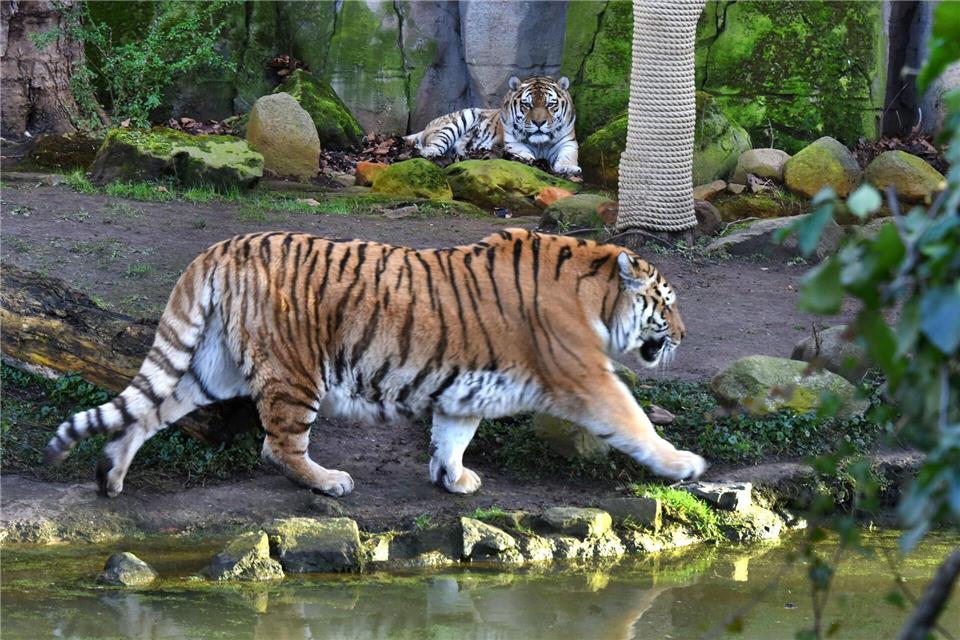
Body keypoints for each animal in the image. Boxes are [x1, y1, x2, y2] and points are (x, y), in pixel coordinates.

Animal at [45, 229, 706, 498]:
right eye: (668, 304)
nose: (683, 335)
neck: (597, 296)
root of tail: (222, 248)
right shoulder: (588, 377)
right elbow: (633, 420)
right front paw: (683, 464)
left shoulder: (467, 387)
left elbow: (452, 436)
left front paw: (453, 479)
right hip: (296, 371)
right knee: (276, 447)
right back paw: (328, 482)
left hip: (212, 368)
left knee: (148, 413)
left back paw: (111, 475)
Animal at [404, 76, 581, 176]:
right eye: (527, 105)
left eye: (550, 105)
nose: (539, 123)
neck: (540, 143)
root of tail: (428, 126)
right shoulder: (514, 144)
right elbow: (526, 155)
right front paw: (536, 162)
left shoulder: (568, 142)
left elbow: (568, 156)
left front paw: (569, 168)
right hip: (460, 119)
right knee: (432, 145)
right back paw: (432, 153)